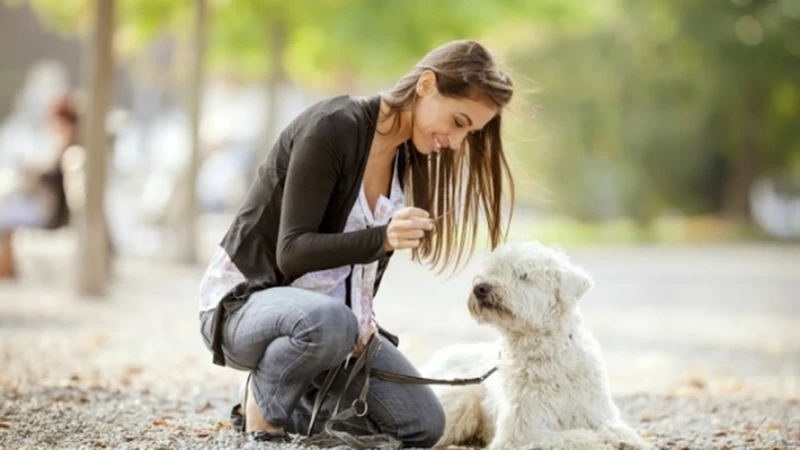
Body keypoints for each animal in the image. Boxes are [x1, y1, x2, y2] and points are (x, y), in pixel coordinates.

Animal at [418, 243, 648, 450]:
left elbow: (617, 428)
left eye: (523, 275)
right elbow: (576, 437)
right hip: (460, 400)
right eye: (493, 269)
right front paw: (602, 441)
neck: (549, 354)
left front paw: (626, 439)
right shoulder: (524, 433)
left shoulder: (596, 412)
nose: (480, 288)